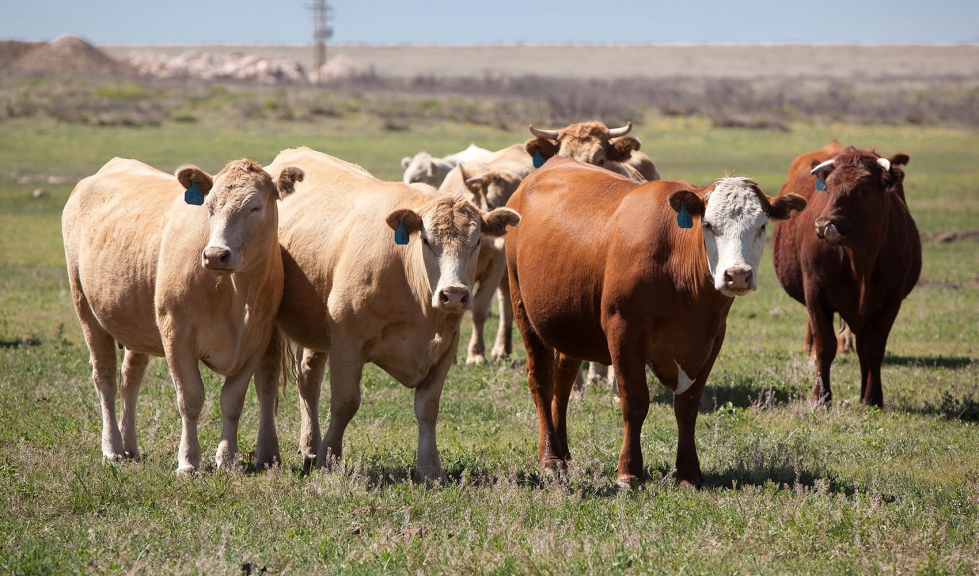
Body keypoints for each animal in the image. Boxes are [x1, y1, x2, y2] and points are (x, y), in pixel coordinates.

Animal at [258, 146, 520, 480]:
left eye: (476, 242)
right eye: (426, 240)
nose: (454, 294)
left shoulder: (446, 346)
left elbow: (427, 407)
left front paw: (430, 468)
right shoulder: (347, 339)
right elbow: (345, 402)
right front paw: (329, 459)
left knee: (308, 378)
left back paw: (310, 447)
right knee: (269, 382)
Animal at [506, 158, 804, 486]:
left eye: (762, 226)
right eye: (709, 225)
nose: (737, 274)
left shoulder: (712, 338)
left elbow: (687, 407)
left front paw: (689, 473)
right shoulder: (623, 331)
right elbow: (635, 402)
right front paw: (629, 471)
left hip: (570, 325)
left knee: (563, 380)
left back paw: (564, 451)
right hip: (523, 309)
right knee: (542, 381)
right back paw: (551, 458)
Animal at [772, 142, 920, 408]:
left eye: (864, 189)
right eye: (829, 187)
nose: (823, 224)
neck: (859, 261)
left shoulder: (890, 301)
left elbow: (873, 349)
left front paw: (872, 398)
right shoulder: (816, 294)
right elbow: (825, 346)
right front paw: (820, 398)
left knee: (862, 349)